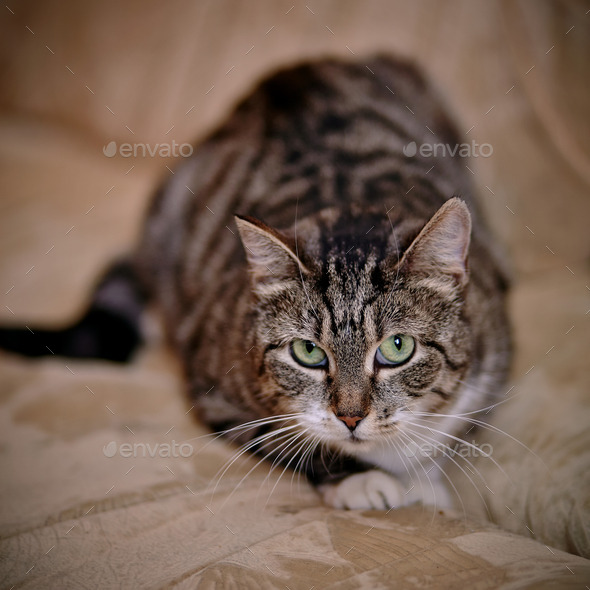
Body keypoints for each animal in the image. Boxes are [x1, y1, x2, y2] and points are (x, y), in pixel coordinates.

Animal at [0, 57, 512, 516]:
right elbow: (294, 444)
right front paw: (362, 480)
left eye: (397, 347)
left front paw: (424, 481)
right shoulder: (220, 397)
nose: (350, 417)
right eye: (308, 352)